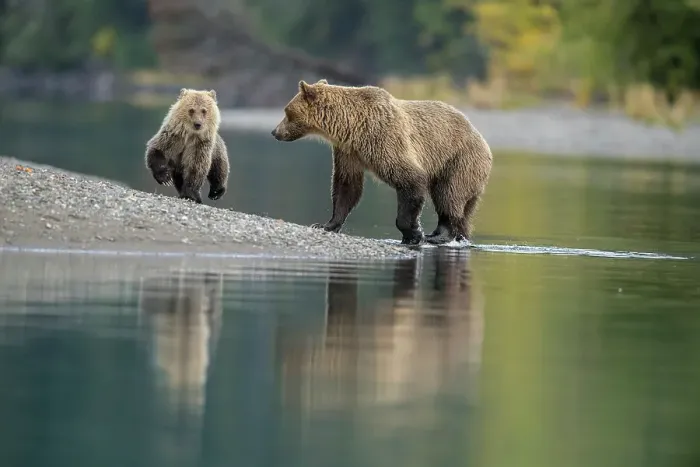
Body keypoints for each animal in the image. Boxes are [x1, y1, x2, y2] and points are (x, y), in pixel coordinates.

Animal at [270, 79, 493, 245]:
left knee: (448, 194)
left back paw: (439, 235)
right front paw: (326, 224)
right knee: (465, 209)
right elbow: (346, 187)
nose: (274, 132)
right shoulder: (349, 152)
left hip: (459, 160)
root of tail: (481, 138)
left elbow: (411, 179)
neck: (350, 127)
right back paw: (460, 235)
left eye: (286, 111)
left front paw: (414, 233)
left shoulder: (384, 139)